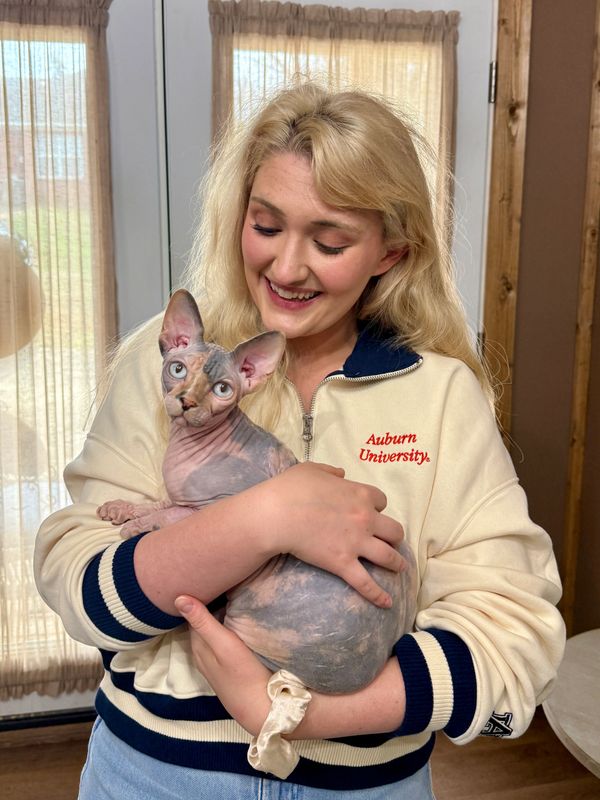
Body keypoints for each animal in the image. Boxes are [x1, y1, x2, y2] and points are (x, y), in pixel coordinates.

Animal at [97, 289, 417, 693]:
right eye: (178, 369)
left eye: (222, 390)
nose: (187, 402)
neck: (186, 447)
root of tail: (366, 672)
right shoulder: (180, 493)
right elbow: (160, 501)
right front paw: (121, 508)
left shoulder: (216, 507)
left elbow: (172, 512)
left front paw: (136, 527)